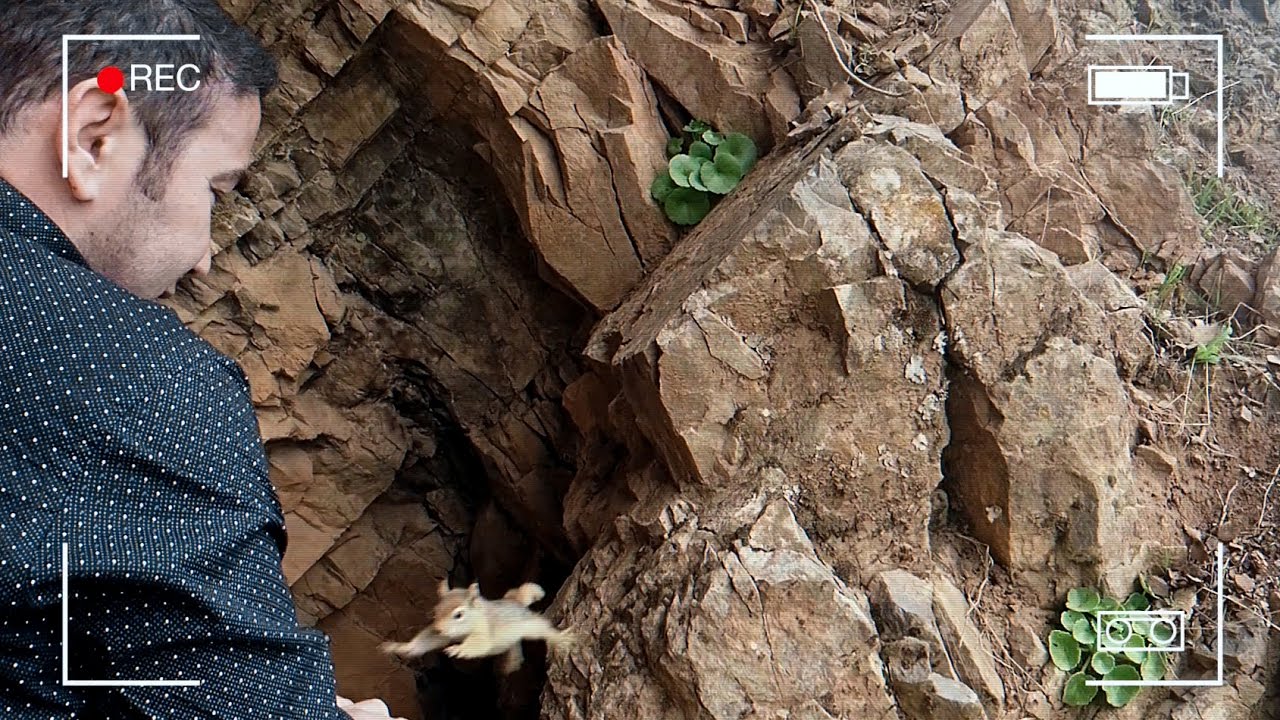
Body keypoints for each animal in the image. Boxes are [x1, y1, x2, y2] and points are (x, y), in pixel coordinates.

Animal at [379, 579, 576, 673]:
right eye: (435, 611)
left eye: (459, 614)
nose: (440, 629)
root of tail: (516, 602)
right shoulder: (441, 635)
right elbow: (427, 640)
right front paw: (402, 647)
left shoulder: (485, 631)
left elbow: (479, 643)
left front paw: (458, 650)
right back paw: (511, 663)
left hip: (528, 625)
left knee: (541, 628)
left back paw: (559, 638)